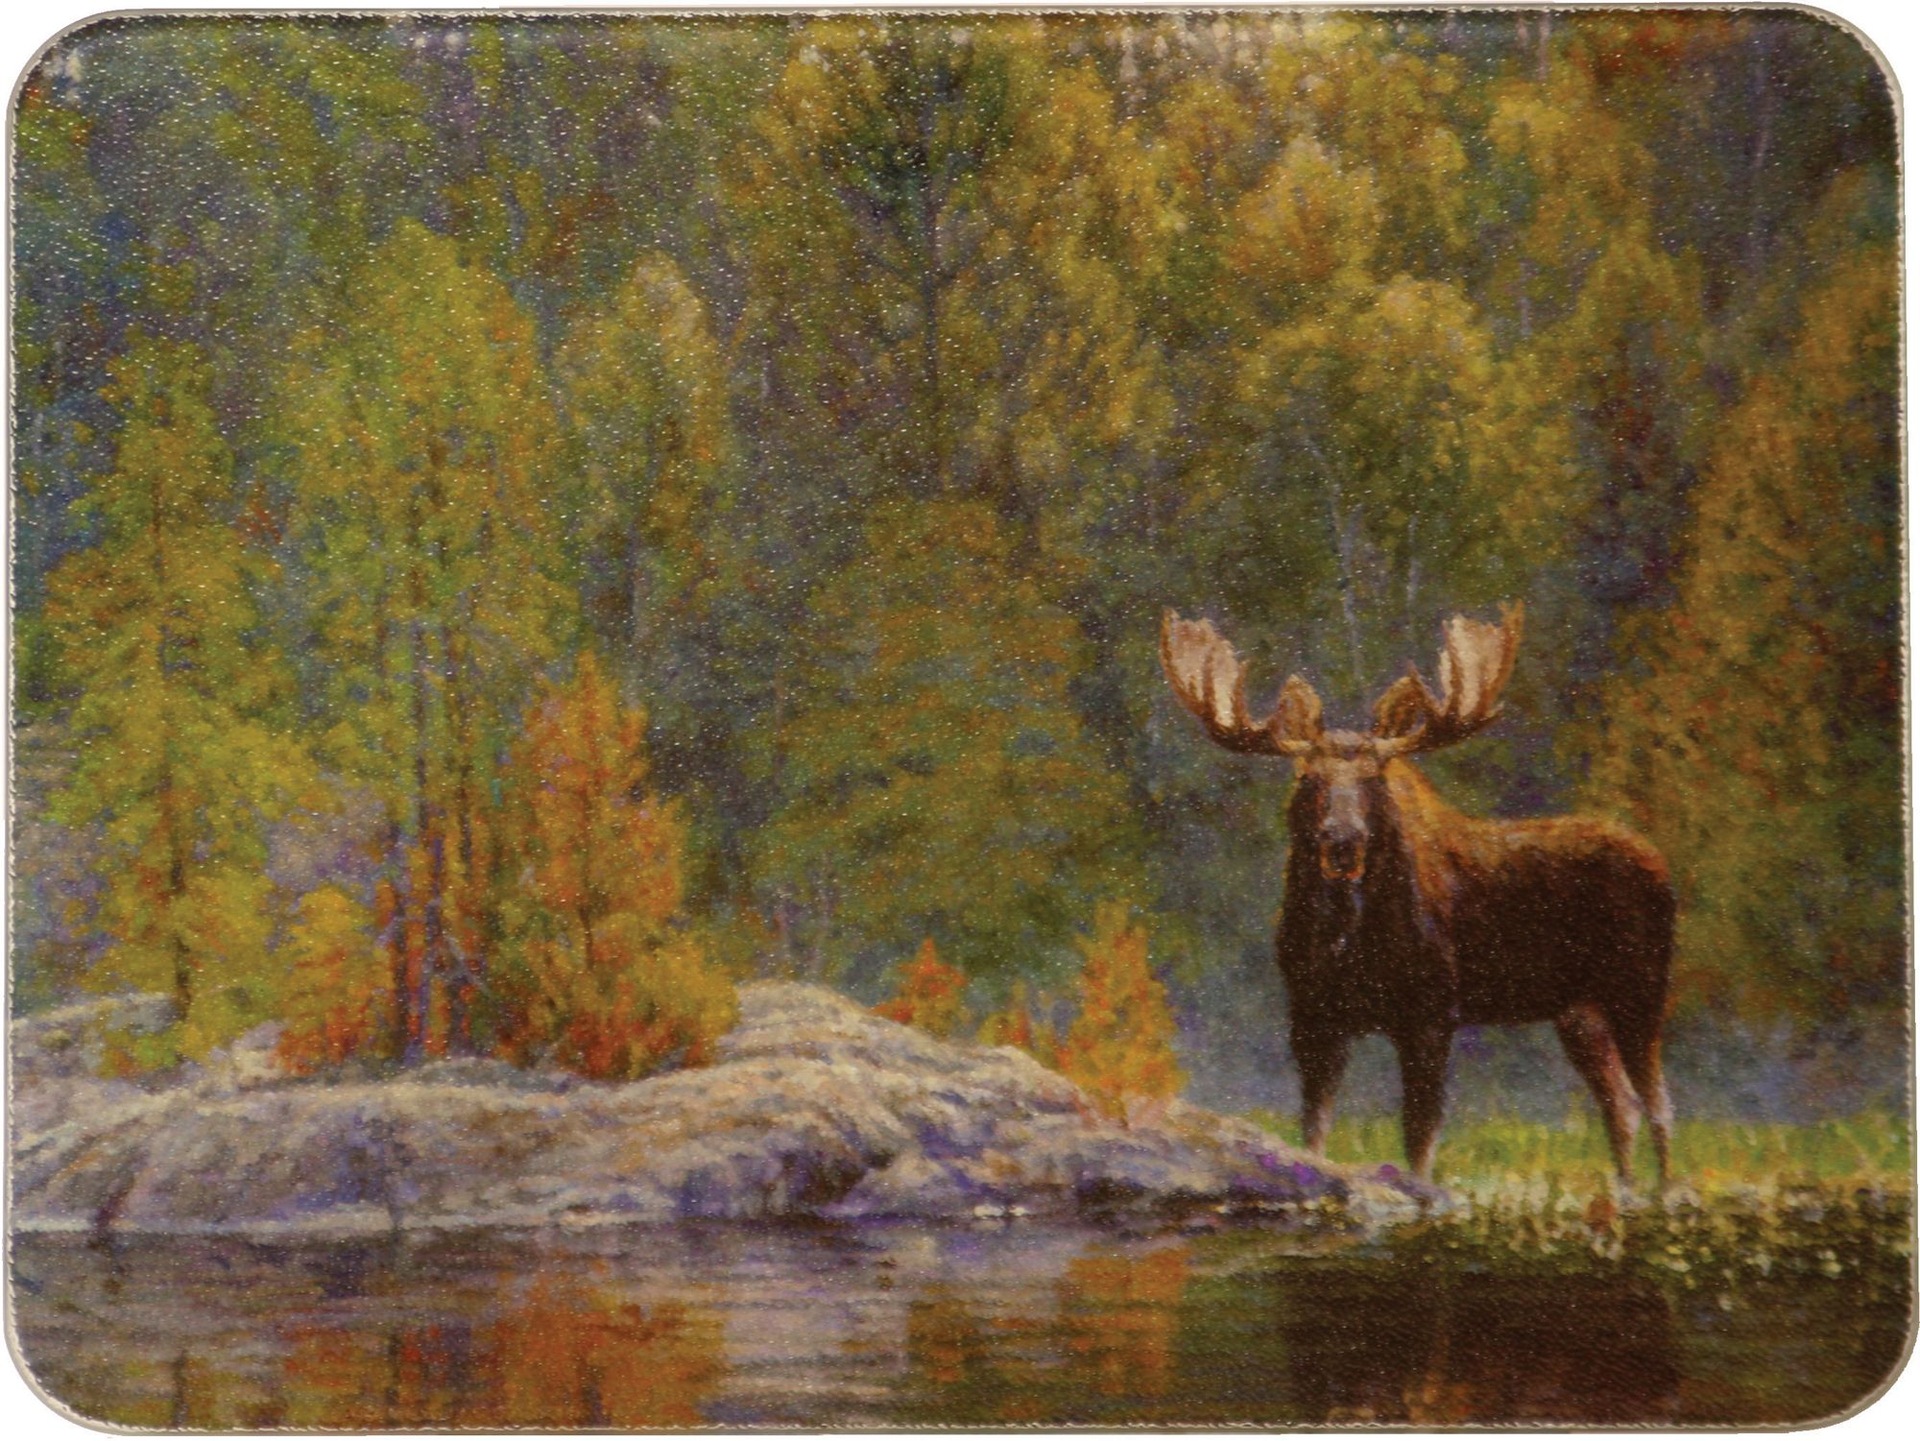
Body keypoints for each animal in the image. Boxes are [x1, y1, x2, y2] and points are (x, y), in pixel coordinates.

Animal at [1159, 603, 1674, 1189]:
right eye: (1310, 777)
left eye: (1375, 777)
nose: (1342, 839)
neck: (1349, 941)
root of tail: (1657, 862)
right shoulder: (1312, 1015)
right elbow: (1313, 1130)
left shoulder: (1431, 1014)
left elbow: (1420, 1138)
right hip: (1578, 1011)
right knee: (1620, 1103)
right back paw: (1627, 1190)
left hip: (1640, 986)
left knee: (1657, 1103)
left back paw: (1662, 1192)